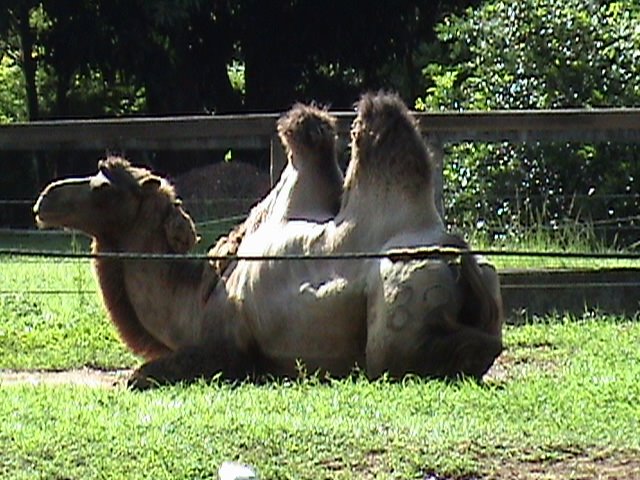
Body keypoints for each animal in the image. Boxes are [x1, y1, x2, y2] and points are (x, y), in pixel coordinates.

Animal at [33, 92, 504, 388]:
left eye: (105, 186)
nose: (45, 198)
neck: (199, 298)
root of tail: (456, 253)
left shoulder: (227, 347)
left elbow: (140, 375)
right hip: (486, 277)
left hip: (402, 306)